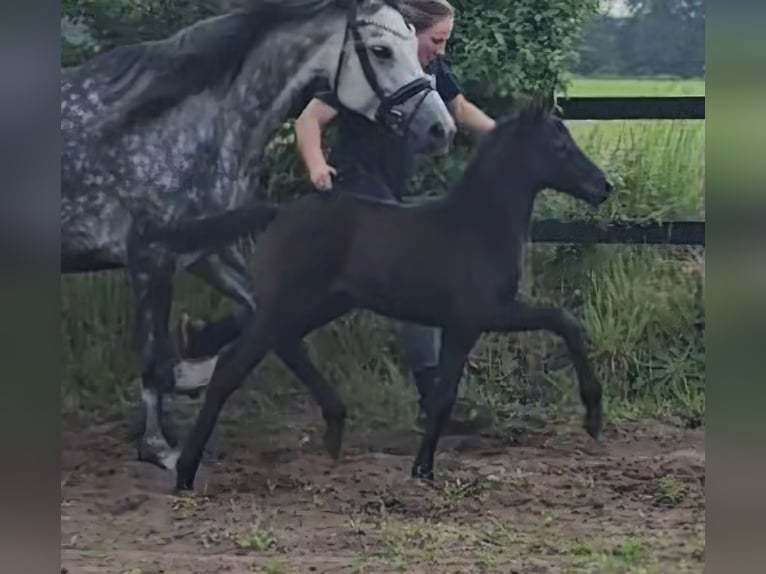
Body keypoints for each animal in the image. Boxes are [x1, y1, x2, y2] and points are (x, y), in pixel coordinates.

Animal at [147, 98, 616, 490]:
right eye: (559, 146)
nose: (603, 187)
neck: (479, 225)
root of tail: (280, 213)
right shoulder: (478, 316)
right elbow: (561, 323)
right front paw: (593, 415)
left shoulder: (466, 323)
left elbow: (446, 392)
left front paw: (422, 468)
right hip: (291, 302)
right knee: (232, 368)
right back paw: (185, 471)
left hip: (320, 303)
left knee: (279, 339)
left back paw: (330, 424)